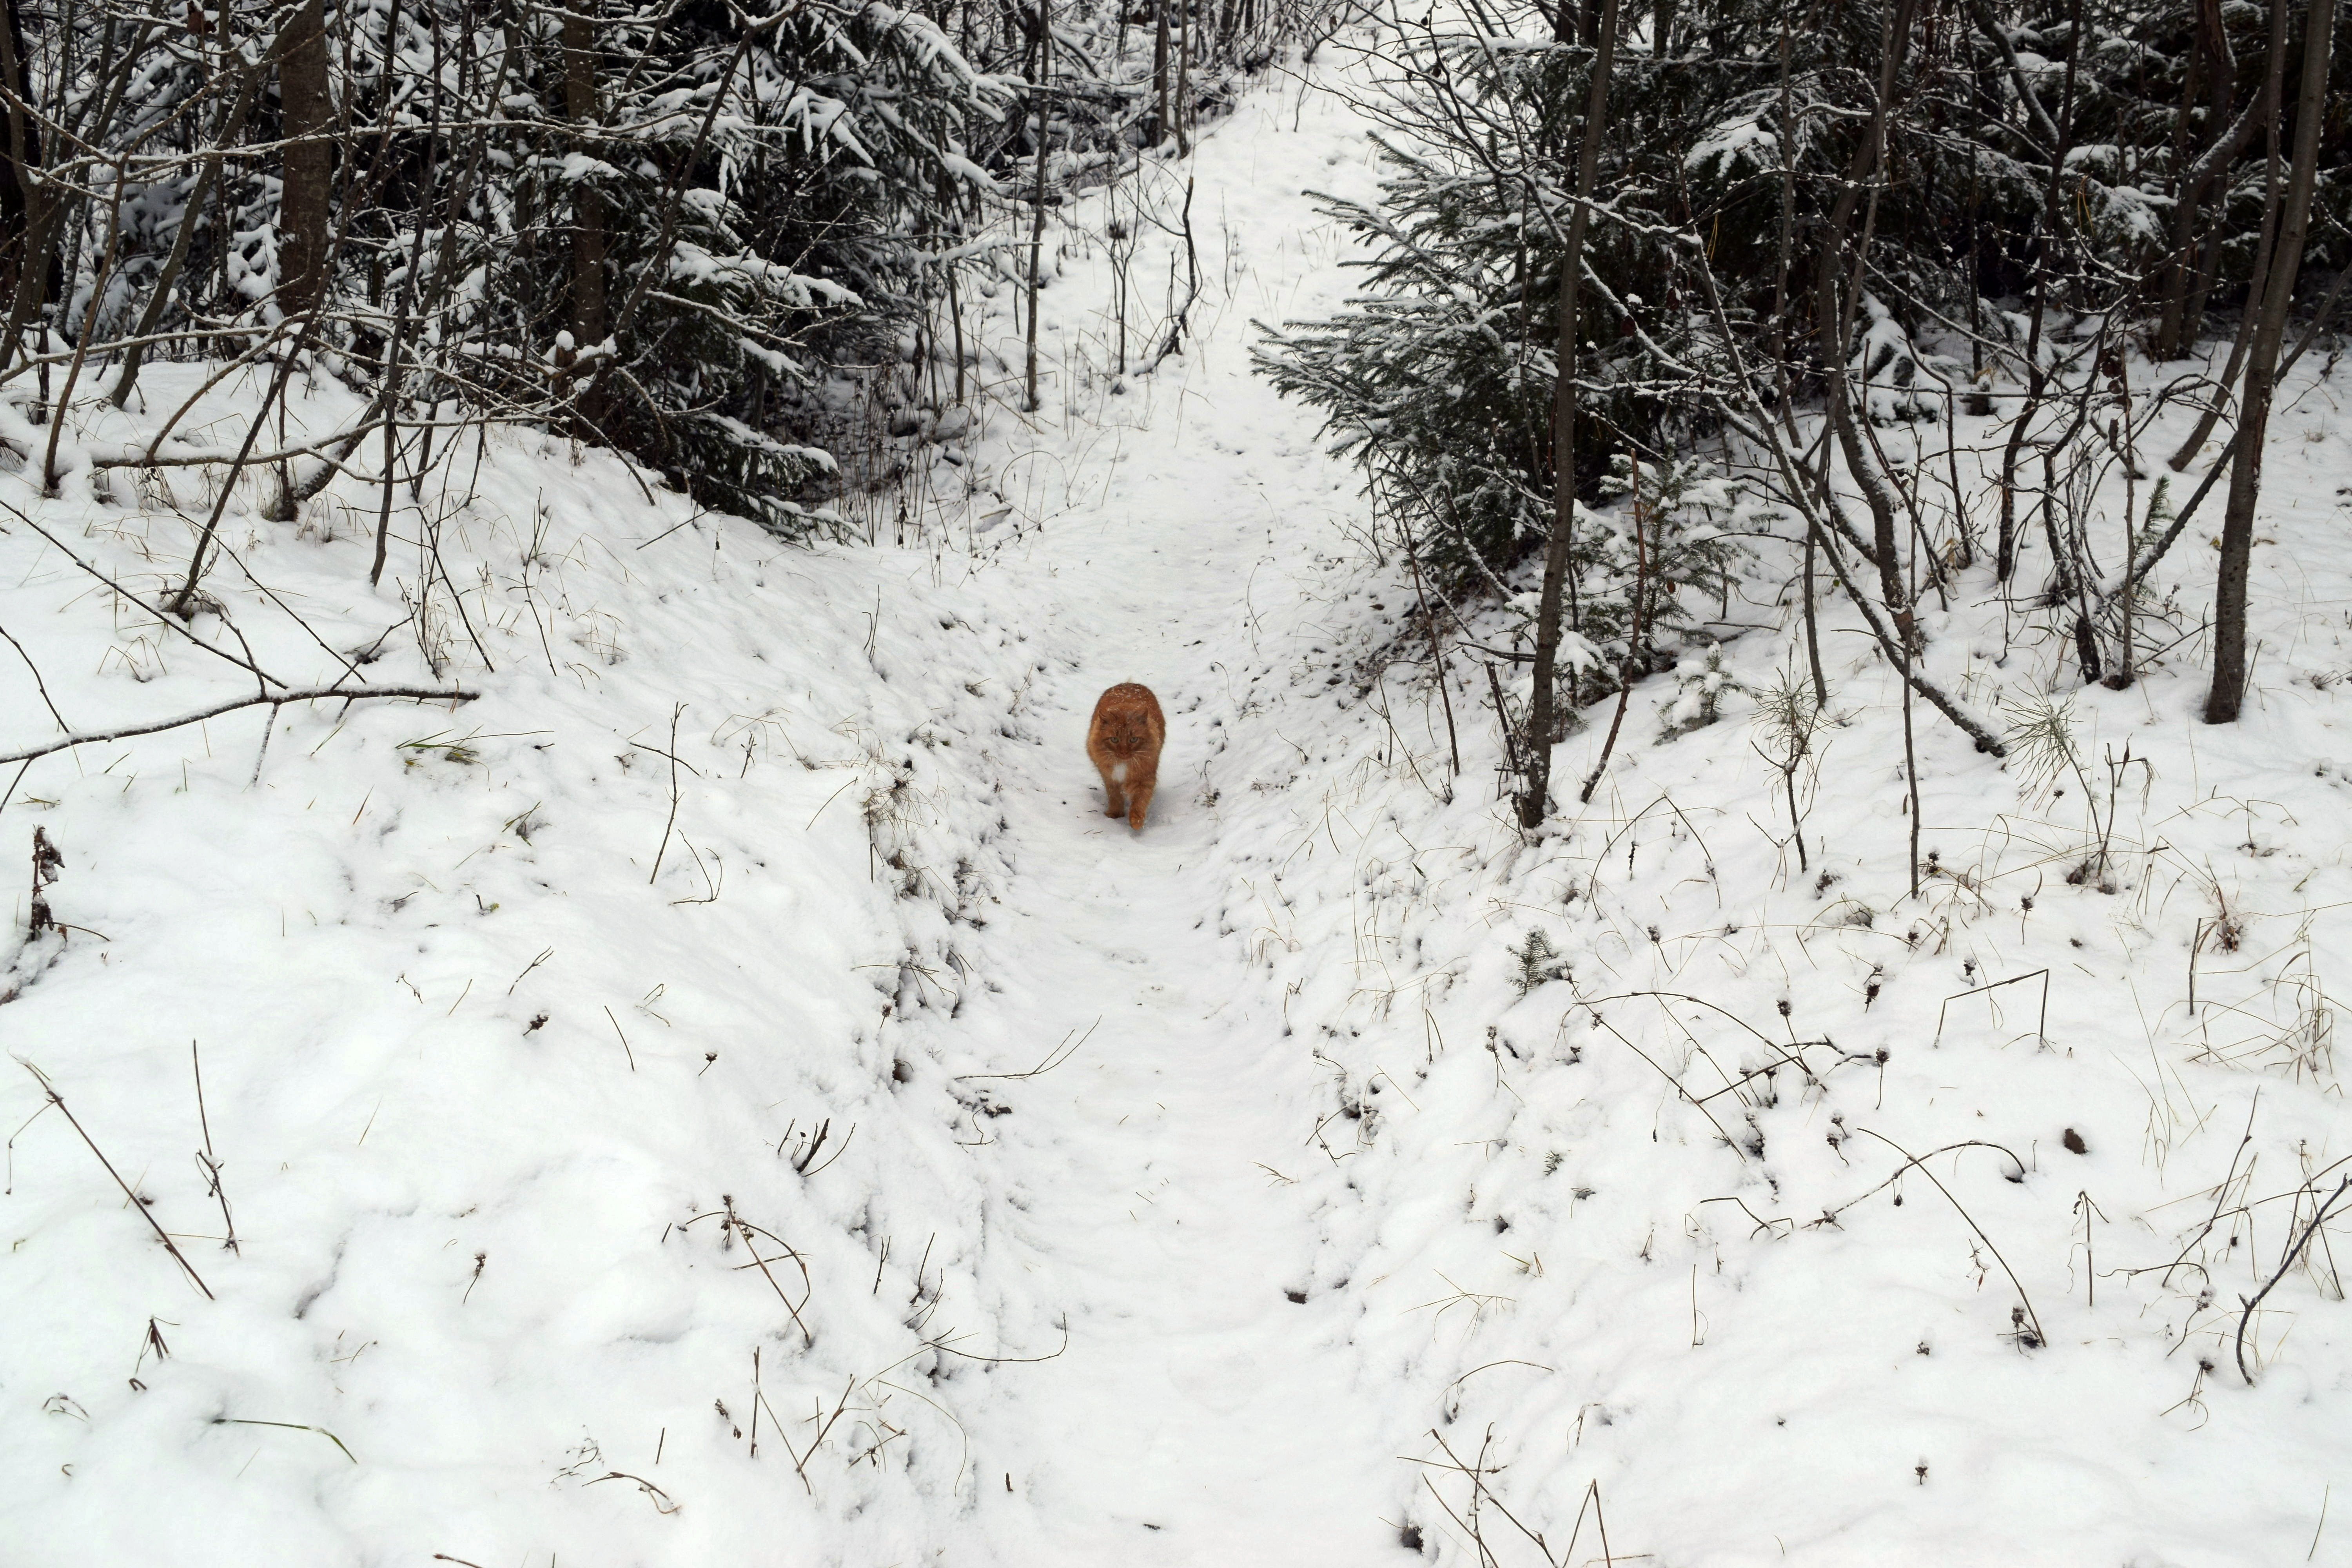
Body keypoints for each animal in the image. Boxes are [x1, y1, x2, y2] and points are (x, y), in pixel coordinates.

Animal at [1091, 682, 1167, 832]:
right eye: (1114, 740)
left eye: (1133, 740)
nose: (1124, 753)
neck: (1123, 764)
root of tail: (1129, 684)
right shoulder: (1110, 778)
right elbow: (1115, 797)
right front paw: (1115, 814)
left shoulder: (1144, 779)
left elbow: (1140, 801)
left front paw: (1136, 821)